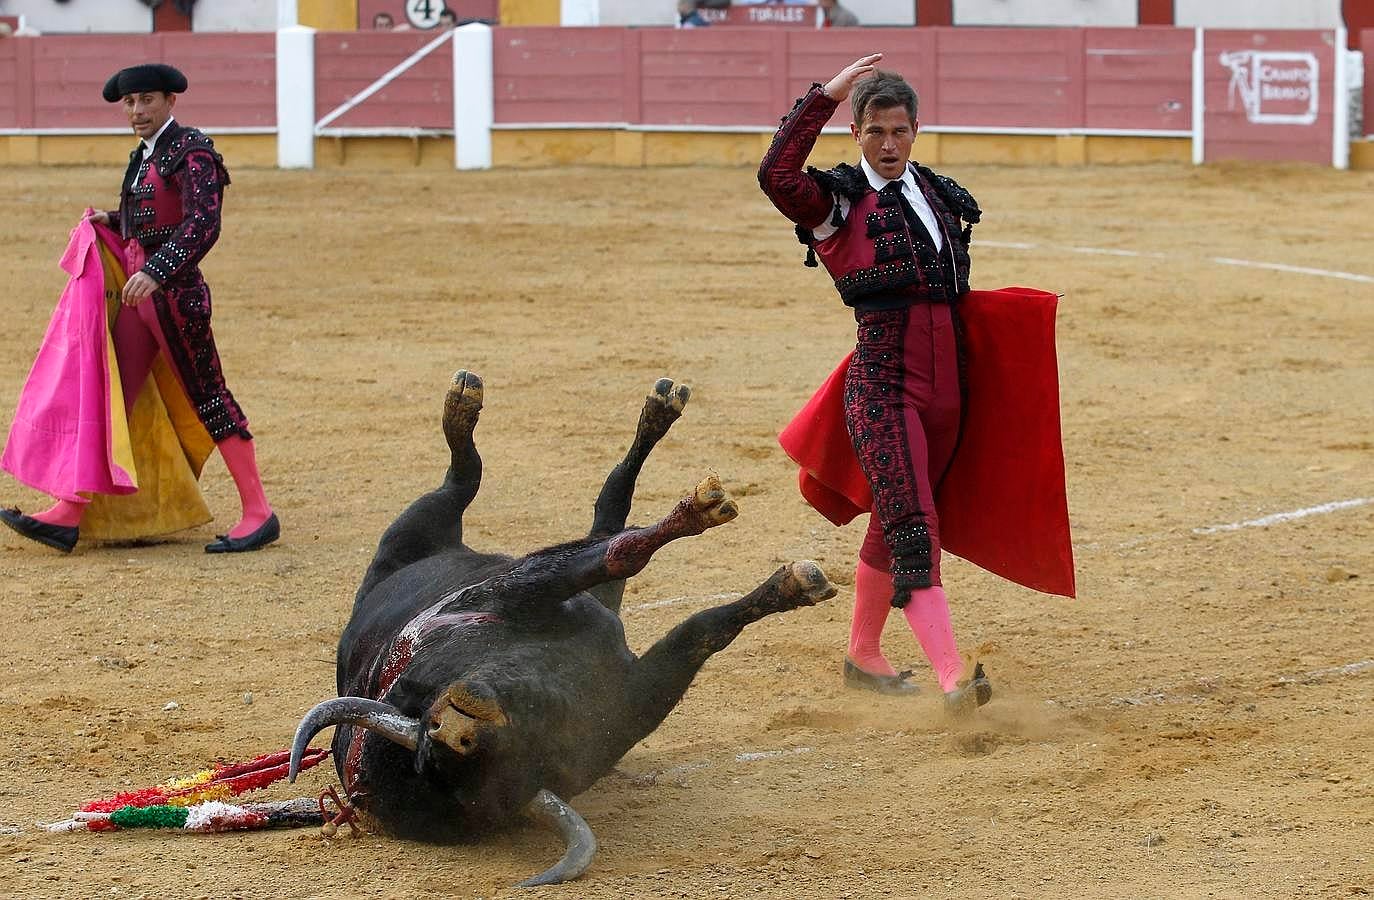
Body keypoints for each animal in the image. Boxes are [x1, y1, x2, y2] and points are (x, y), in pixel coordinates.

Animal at [289, 373, 835, 884]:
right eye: (428, 742)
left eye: (427, 723)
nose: (457, 727)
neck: (547, 677)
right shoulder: (635, 686)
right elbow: (677, 606)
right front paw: (717, 528)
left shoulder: (517, 594)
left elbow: (677, 602)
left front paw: (784, 578)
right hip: (441, 534)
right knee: (494, 490)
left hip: (419, 530)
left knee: (542, 498)